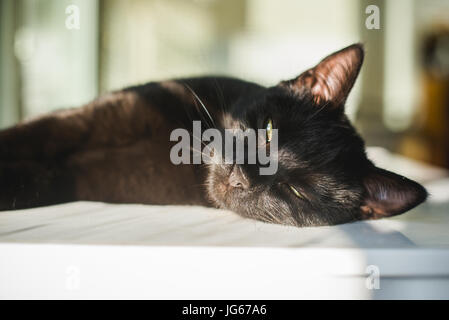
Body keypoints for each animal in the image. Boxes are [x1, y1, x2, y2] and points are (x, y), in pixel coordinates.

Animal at [0, 43, 426, 226]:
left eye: (297, 191)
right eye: (268, 132)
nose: (242, 177)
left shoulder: (80, 177)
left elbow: (39, 180)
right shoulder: (90, 118)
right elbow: (33, 132)